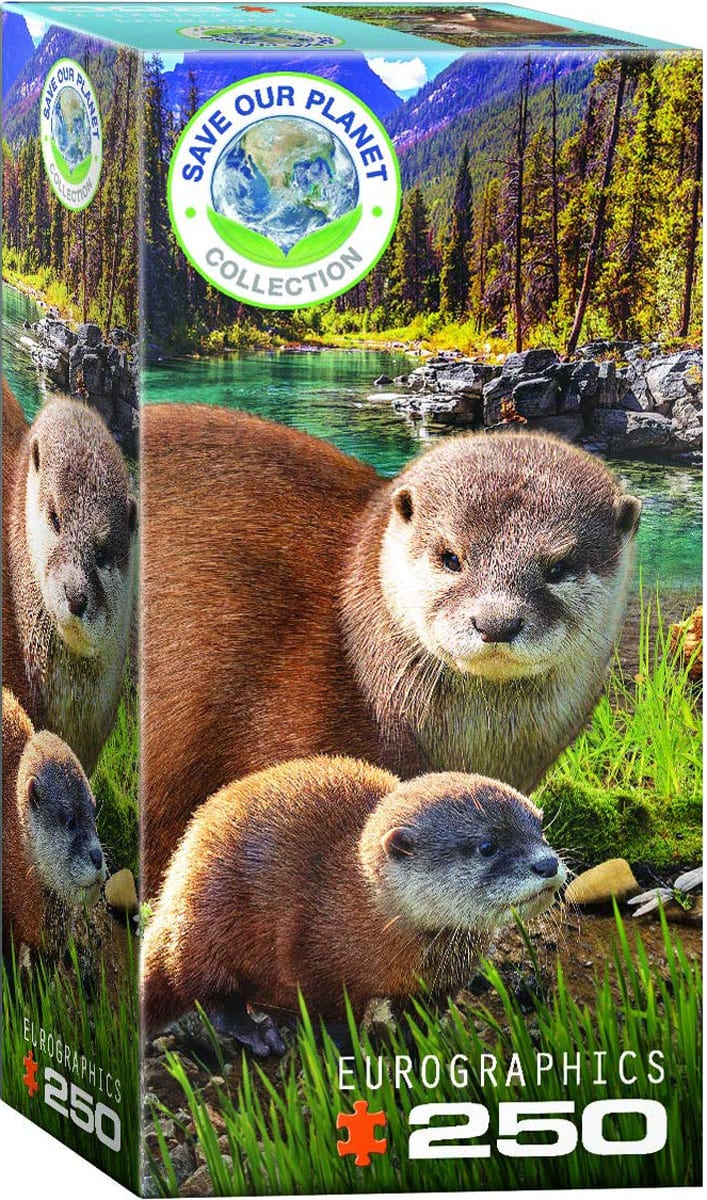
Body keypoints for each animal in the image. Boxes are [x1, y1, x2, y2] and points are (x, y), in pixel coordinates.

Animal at [142, 755, 565, 1047]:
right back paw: (257, 1034)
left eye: (540, 825)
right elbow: (331, 1018)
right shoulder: (314, 960)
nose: (547, 863)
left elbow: (424, 1016)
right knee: (203, 989)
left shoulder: (440, 984)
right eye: (487, 846)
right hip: (209, 918)